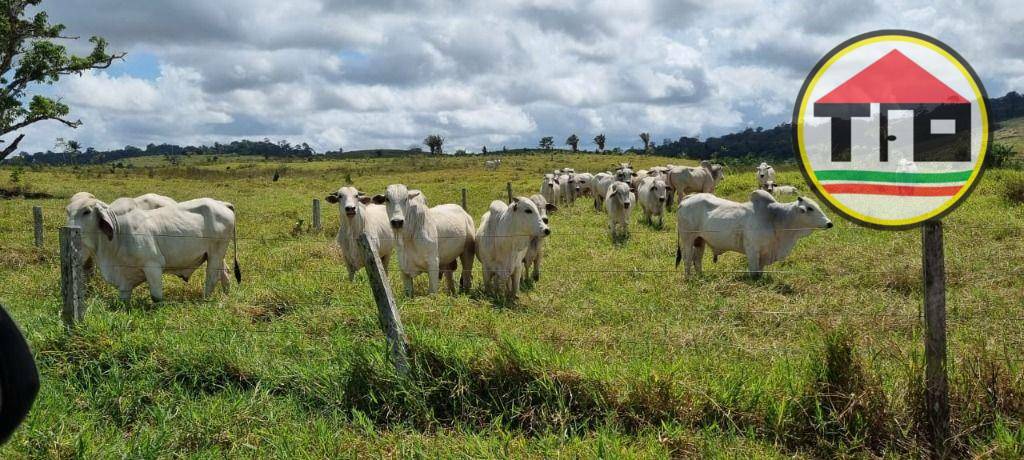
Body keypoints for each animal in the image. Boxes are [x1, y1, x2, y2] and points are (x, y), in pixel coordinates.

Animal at [68, 196, 239, 301]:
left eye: (86, 211)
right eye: (68, 211)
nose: (69, 228)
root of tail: (222, 204)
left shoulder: (153, 266)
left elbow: (156, 297)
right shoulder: (124, 281)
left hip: (216, 254)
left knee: (212, 278)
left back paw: (205, 299)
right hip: (215, 255)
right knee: (225, 274)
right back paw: (226, 296)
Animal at [675, 189, 835, 276]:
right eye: (810, 208)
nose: (829, 223)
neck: (776, 218)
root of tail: (687, 198)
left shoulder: (764, 253)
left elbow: (760, 272)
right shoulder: (752, 250)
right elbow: (754, 273)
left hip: (700, 240)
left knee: (697, 259)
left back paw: (701, 276)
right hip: (687, 238)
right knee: (687, 259)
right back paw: (689, 278)